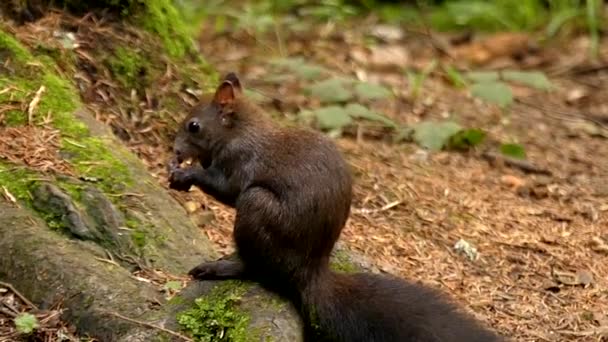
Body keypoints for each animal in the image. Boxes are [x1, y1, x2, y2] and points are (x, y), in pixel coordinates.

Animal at [167, 73, 504, 340]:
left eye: (194, 126)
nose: (175, 150)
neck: (239, 130)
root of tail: (308, 271)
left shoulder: (239, 161)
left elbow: (226, 188)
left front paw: (186, 174)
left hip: (258, 208)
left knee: (258, 268)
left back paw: (220, 267)